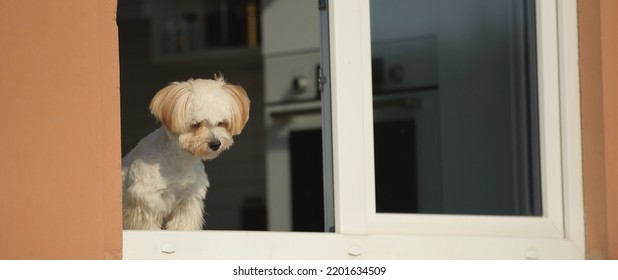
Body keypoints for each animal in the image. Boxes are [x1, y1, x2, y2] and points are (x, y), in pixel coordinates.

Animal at [121, 75, 249, 230]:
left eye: (221, 123)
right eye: (196, 125)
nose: (215, 144)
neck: (180, 162)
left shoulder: (188, 202)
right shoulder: (146, 202)